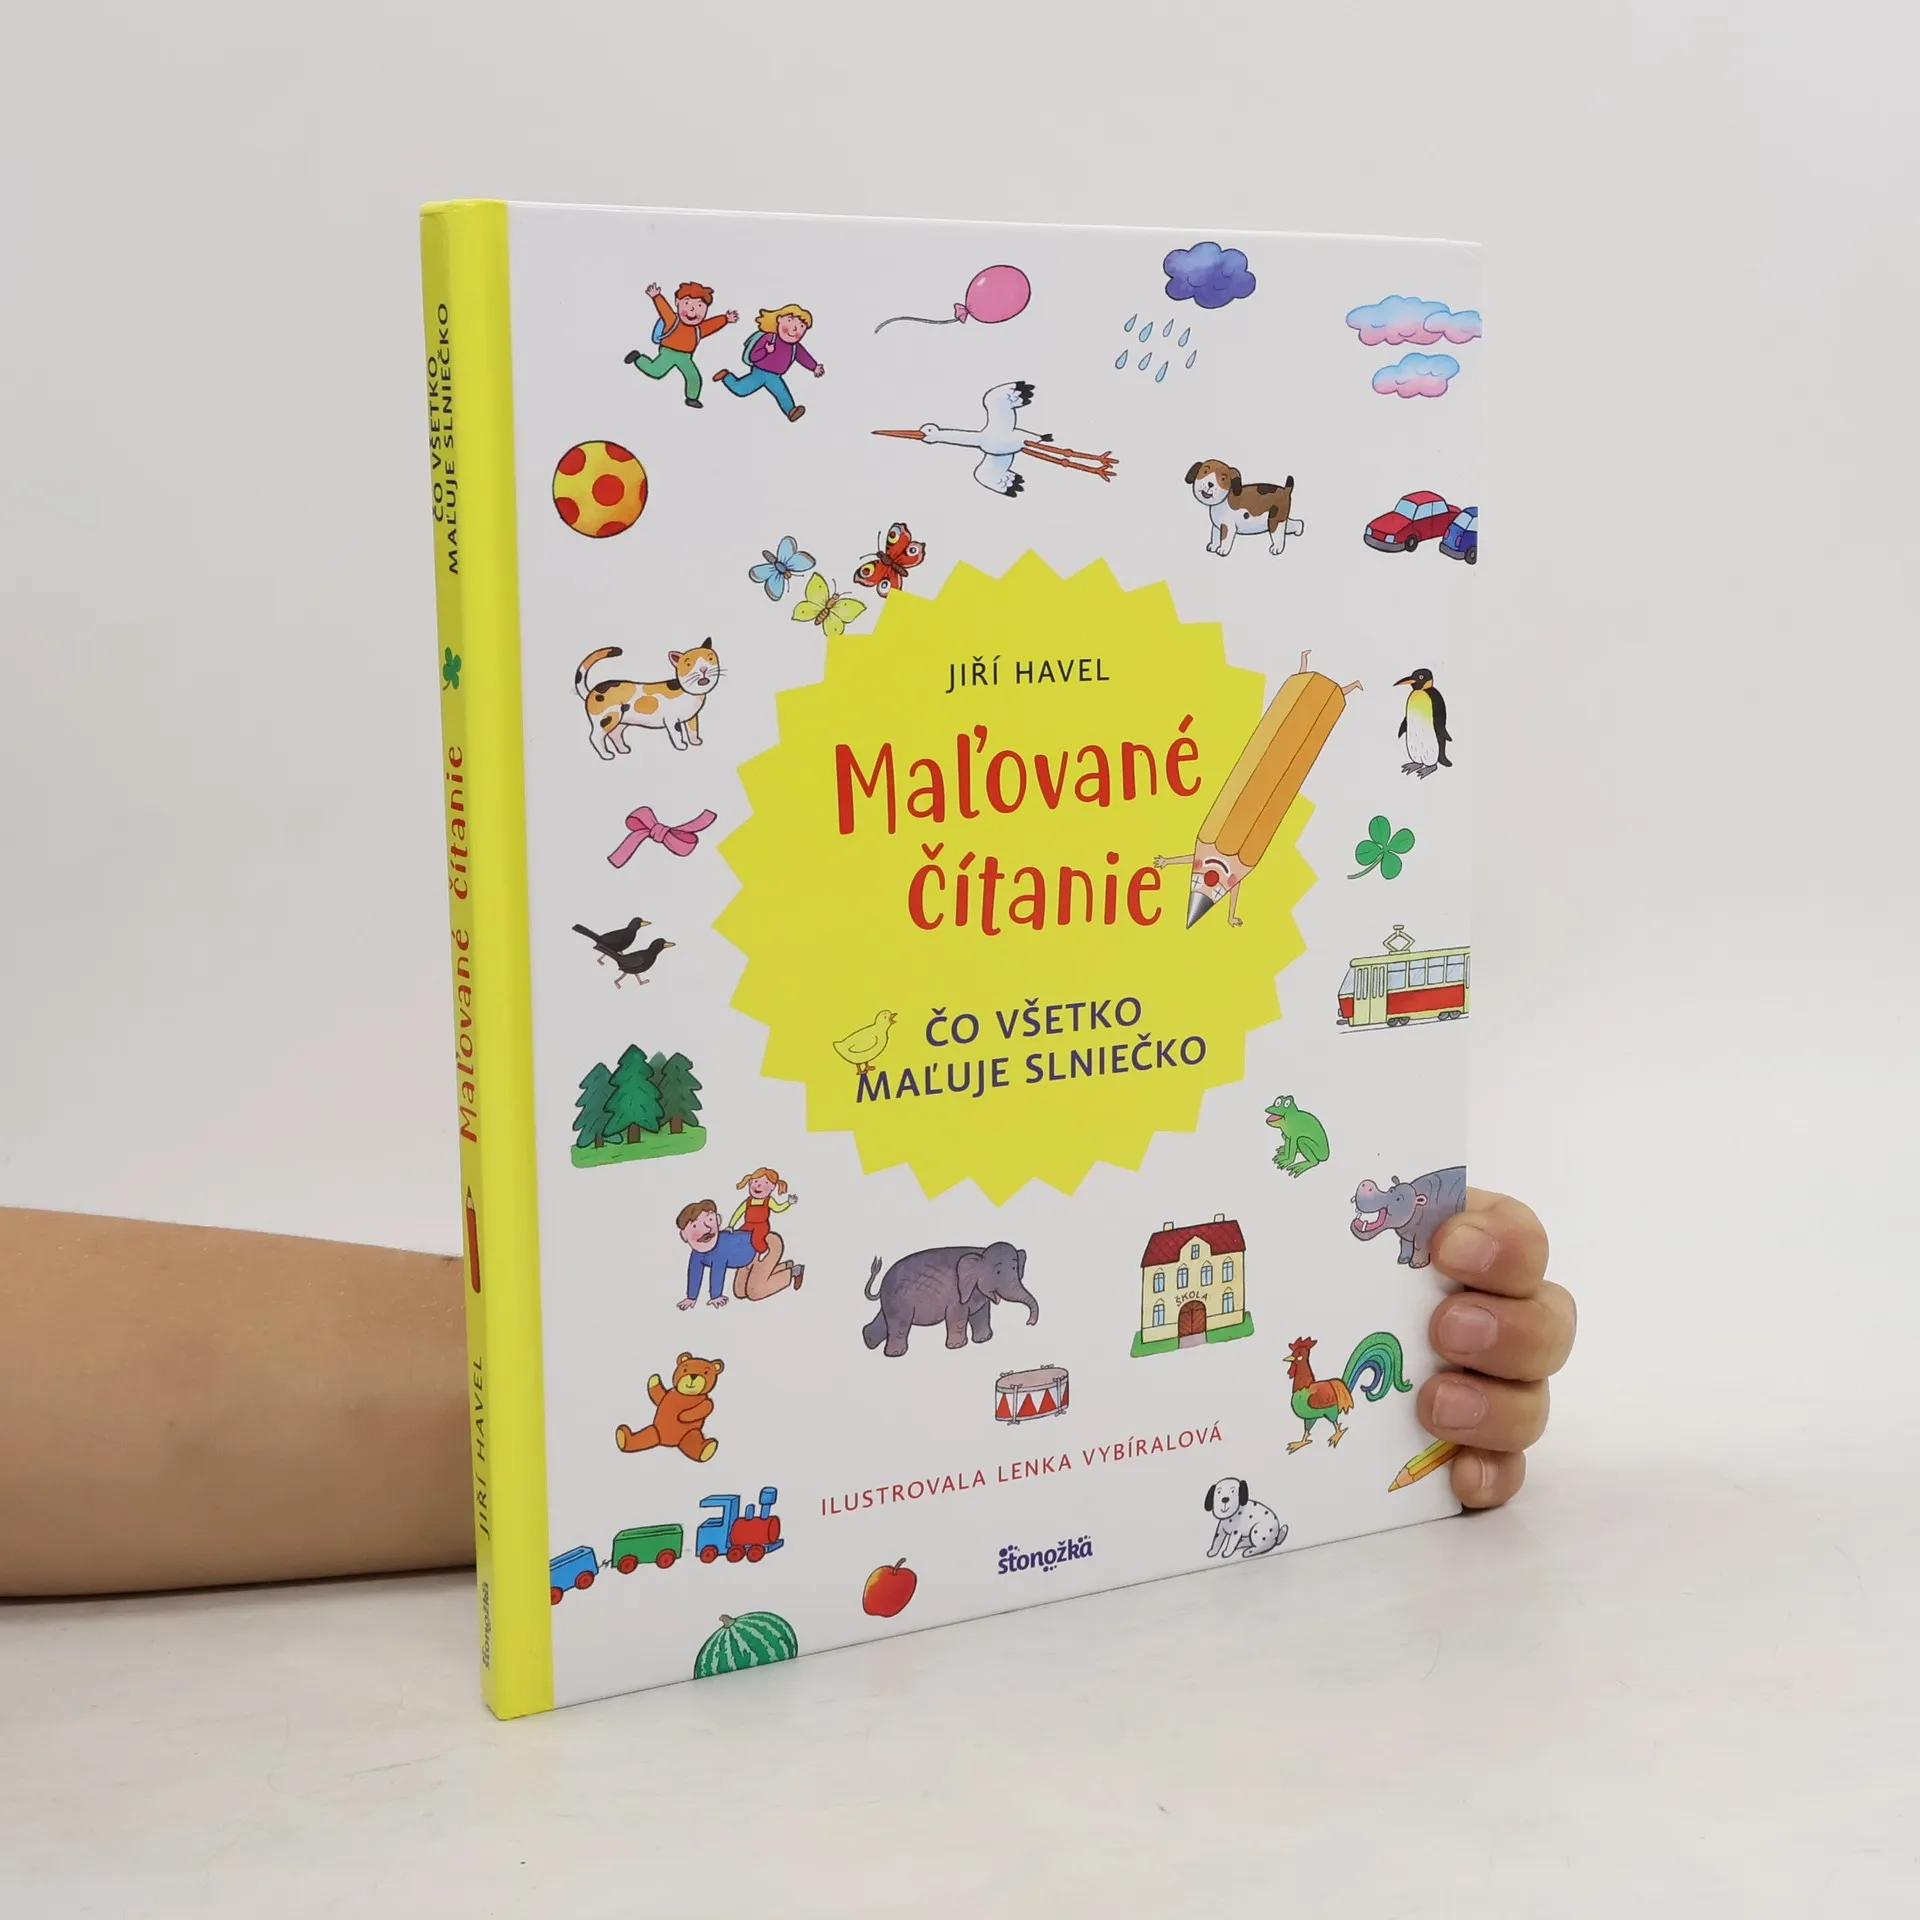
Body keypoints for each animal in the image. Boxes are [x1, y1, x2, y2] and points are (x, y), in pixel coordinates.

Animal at [861, 1243, 1037, 1358]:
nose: (1029, 1323)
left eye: (1015, 1269)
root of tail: (882, 1283)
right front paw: (957, 1347)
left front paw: (983, 1340)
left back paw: (868, 1341)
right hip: (898, 1300)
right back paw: (895, 1354)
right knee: (899, 1324)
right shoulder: (956, 1294)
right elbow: (957, 1315)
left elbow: (981, 1313)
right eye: (998, 1272)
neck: (980, 1252)